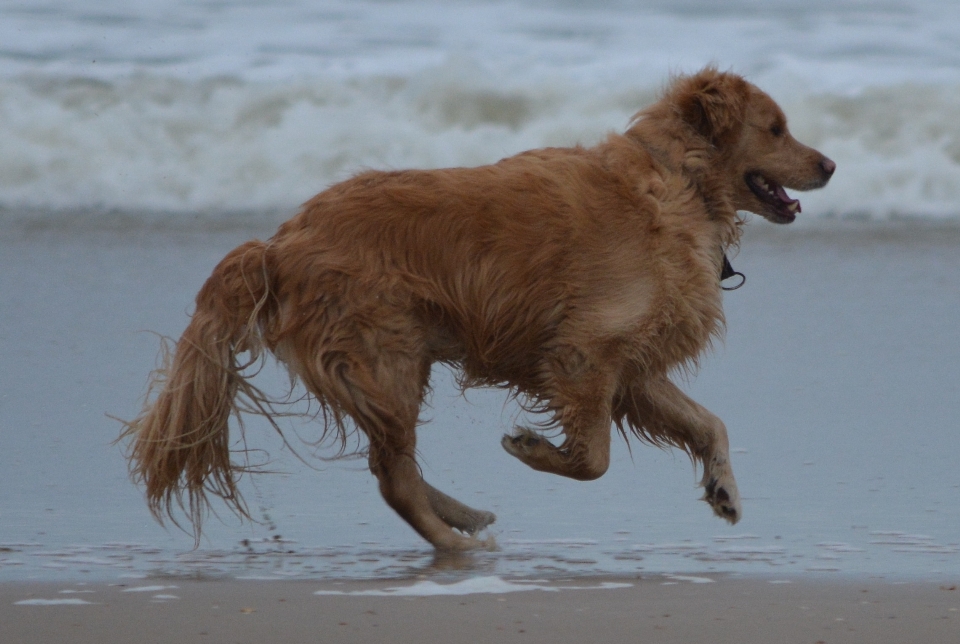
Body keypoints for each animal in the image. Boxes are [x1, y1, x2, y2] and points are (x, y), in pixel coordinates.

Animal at [122, 66, 832, 548]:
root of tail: (278, 243)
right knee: (394, 477)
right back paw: (456, 547)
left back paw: (462, 517)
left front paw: (723, 488)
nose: (828, 164)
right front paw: (532, 447)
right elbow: (594, 460)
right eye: (776, 129)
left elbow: (710, 422)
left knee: (390, 467)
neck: (680, 180)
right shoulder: (582, 352)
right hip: (387, 357)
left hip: (394, 365)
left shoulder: (628, 368)